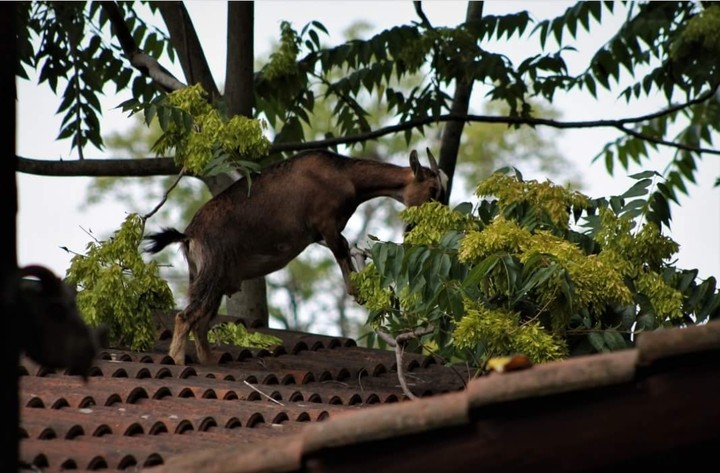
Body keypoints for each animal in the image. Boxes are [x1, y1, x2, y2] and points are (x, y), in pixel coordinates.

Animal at [145, 148, 447, 365]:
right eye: (432, 191)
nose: (429, 224)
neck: (347, 176)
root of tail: (189, 235)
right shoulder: (326, 222)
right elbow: (342, 250)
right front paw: (358, 293)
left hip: (208, 277)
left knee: (201, 323)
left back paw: (209, 360)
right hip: (213, 271)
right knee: (186, 317)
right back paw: (177, 359)